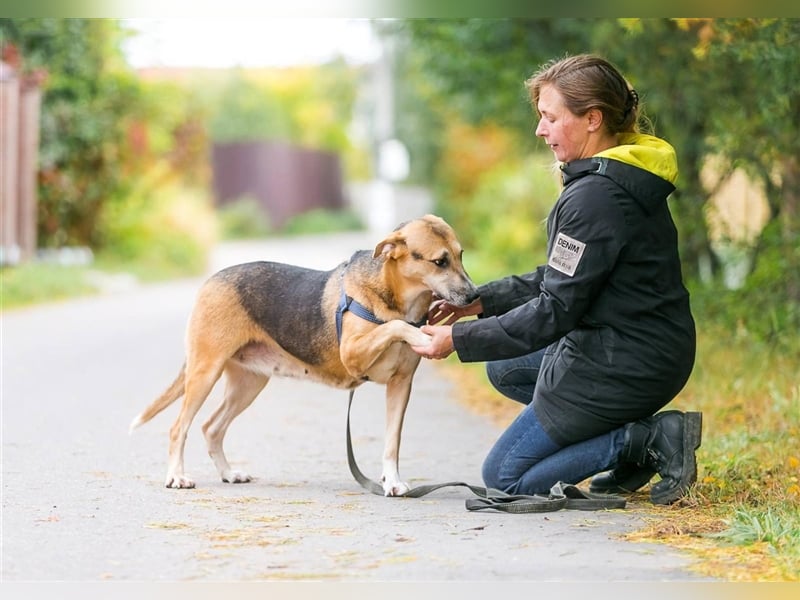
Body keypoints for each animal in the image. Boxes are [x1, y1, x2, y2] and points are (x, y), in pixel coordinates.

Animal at [130, 216, 476, 496]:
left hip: (248, 384)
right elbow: (395, 326)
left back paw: (228, 473)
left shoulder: (401, 385)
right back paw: (177, 477)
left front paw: (391, 482)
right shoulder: (353, 354)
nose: (474, 295)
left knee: (211, 428)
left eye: (460, 255)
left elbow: (392, 443)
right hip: (205, 372)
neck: (394, 295)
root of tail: (210, 281)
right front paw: (421, 335)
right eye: (439, 261)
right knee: (179, 427)